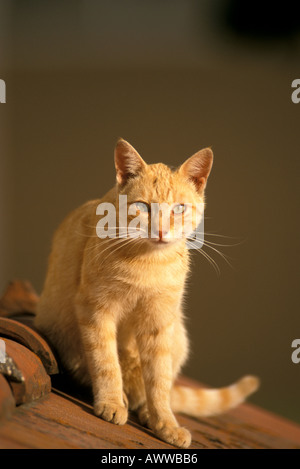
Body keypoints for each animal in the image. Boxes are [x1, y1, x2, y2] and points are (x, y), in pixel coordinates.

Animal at [35, 138, 258, 446]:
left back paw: (145, 410)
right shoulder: (96, 310)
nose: (161, 231)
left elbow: (159, 382)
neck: (149, 263)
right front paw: (111, 402)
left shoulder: (159, 325)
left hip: (178, 338)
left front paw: (165, 422)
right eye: (142, 206)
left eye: (179, 208)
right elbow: (106, 362)